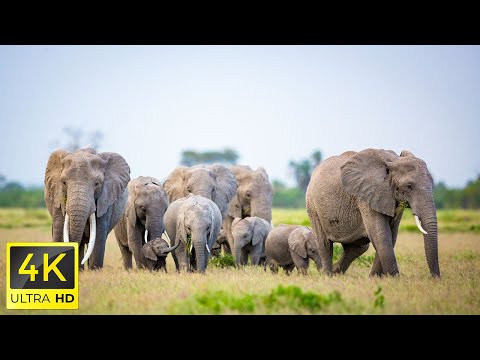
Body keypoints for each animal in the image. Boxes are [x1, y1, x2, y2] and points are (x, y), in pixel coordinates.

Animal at [306, 148, 440, 278]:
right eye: (409, 186)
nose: (435, 278)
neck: (394, 160)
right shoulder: (366, 196)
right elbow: (381, 235)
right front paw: (395, 279)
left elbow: (391, 235)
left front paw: (374, 279)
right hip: (312, 205)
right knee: (325, 244)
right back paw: (327, 276)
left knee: (357, 248)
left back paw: (335, 272)